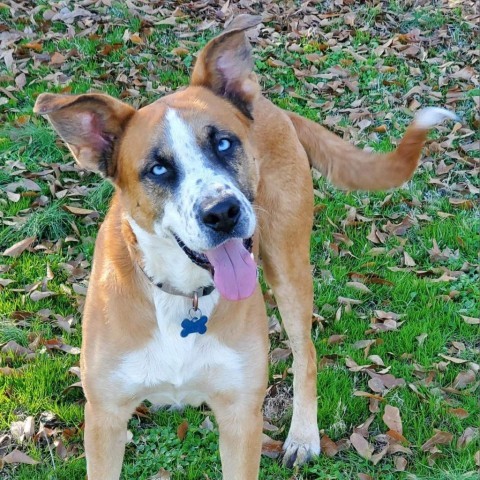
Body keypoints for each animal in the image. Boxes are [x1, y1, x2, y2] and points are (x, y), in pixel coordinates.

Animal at [34, 14, 458, 480]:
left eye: (222, 143)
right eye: (158, 168)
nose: (222, 213)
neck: (183, 297)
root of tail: (269, 105)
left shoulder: (240, 415)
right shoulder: (105, 417)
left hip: (288, 266)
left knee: (306, 354)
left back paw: (303, 436)